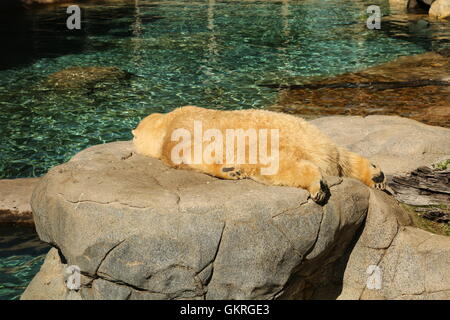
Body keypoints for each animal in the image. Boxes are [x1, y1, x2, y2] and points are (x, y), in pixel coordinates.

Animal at [131, 106, 386, 204]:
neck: (166, 121)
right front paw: (230, 170)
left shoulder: (181, 132)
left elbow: (191, 155)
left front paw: (229, 170)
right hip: (316, 135)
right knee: (344, 157)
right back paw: (376, 176)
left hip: (268, 148)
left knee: (283, 166)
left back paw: (317, 187)